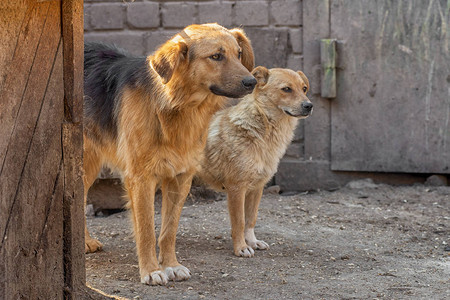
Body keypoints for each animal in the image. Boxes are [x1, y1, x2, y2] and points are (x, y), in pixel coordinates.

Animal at [82, 24, 255, 286]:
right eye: (216, 56)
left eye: (239, 54)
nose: (252, 81)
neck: (176, 106)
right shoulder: (141, 179)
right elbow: (146, 230)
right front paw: (151, 270)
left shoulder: (180, 178)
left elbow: (168, 230)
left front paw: (171, 265)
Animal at [199, 67, 312, 258]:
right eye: (286, 89)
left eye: (304, 88)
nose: (309, 106)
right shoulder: (236, 188)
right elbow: (239, 222)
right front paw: (241, 248)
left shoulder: (257, 187)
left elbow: (251, 219)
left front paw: (252, 242)